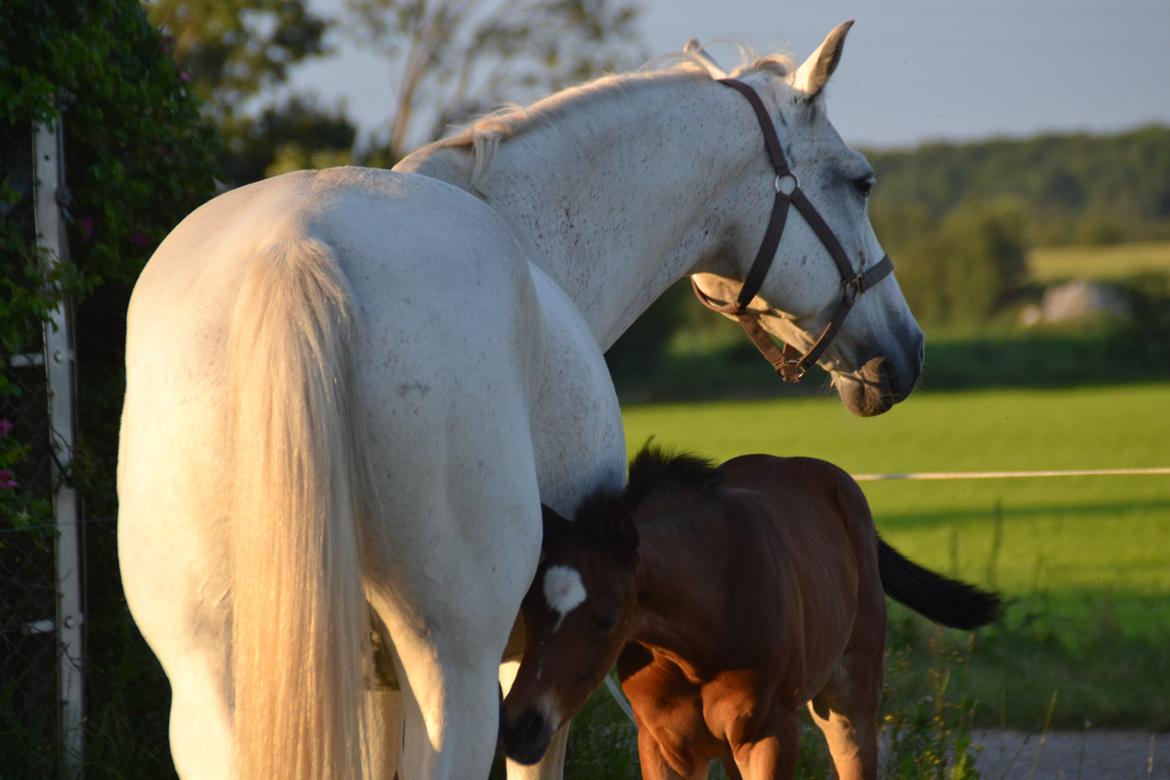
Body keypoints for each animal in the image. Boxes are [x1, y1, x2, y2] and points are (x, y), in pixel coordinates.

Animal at [118, 19, 921, 780]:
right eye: (861, 181)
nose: (905, 354)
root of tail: (300, 244)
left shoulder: (373, 687)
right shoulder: (533, 671)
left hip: (209, 688)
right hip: (454, 674)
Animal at [498, 449, 1001, 776]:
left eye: (605, 620)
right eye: (529, 613)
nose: (520, 725)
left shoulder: (769, 737)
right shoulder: (663, 747)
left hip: (849, 705)